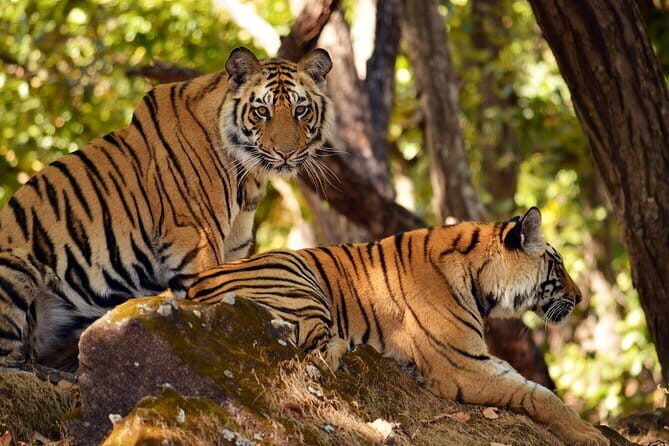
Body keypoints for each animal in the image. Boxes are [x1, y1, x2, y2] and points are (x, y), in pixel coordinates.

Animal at [0, 47, 334, 371]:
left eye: (301, 110)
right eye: (262, 111)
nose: (286, 152)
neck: (248, 177)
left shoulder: (234, 250)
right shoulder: (197, 241)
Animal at [187, 208, 609, 446]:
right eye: (558, 266)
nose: (581, 298)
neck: (481, 280)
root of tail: (194, 288)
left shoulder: (478, 357)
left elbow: (533, 387)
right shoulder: (463, 366)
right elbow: (541, 395)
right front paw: (590, 435)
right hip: (297, 277)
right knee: (315, 350)